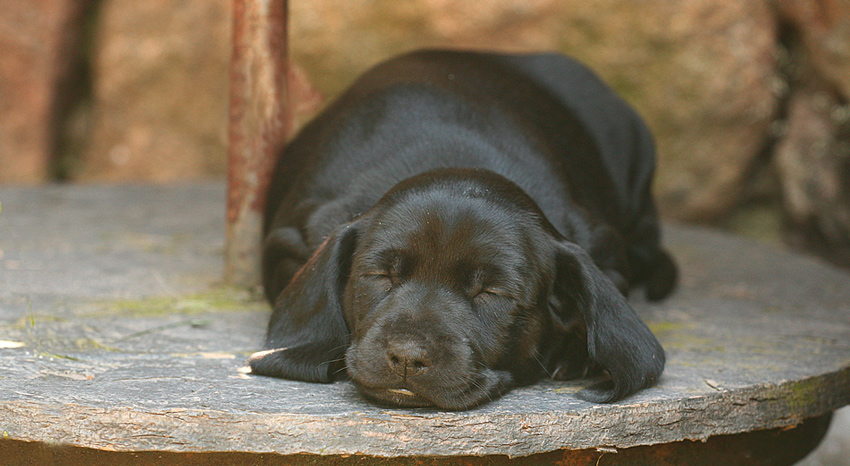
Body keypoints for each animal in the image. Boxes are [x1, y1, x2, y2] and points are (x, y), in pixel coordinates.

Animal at [247, 49, 676, 410]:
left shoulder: (603, 248)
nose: (407, 356)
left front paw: (572, 350)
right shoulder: (288, 240)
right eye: (381, 276)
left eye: (491, 293)